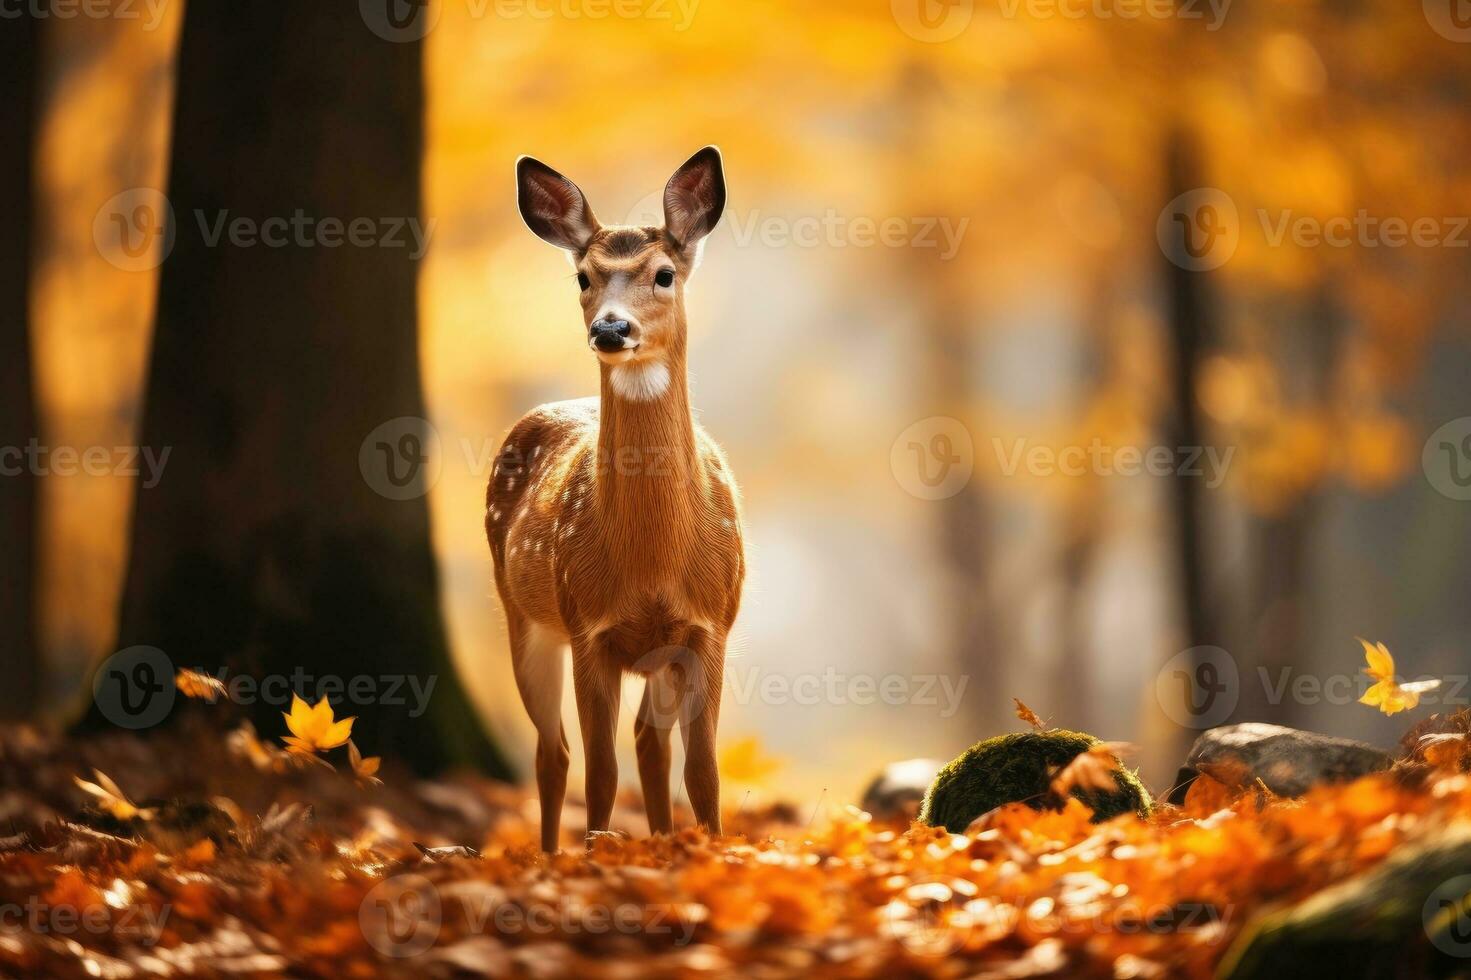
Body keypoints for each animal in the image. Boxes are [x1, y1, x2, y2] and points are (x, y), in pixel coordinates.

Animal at [491, 144, 747, 847]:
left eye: (663, 274)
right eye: (583, 277)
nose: (611, 328)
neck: (654, 563)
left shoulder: (707, 627)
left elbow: (704, 773)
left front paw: (710, 849)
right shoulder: (588, 626)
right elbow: (600, 774)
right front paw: (594, 854)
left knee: (645, 744)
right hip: (523, 615)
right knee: (553, 755)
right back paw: (552, 854)